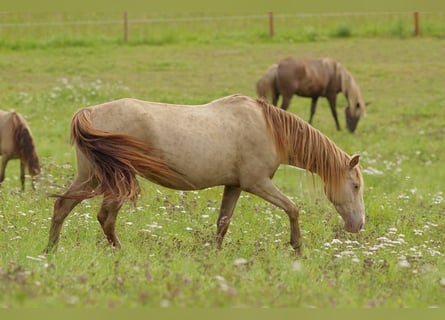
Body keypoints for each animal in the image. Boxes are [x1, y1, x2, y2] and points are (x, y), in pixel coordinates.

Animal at [44, 94, 364, 254]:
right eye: (356, 186)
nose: (358, 225)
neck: (269, 128)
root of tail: (89, 112)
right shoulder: (257, 183)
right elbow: (293, 209)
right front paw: (297, 248)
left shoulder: (234, 186)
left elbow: (223, 222)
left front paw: (214, 255)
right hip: (115, 181)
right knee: (105, 218)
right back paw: (120, 253)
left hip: (91, 177)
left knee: (62, 206)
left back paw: (50, 251)